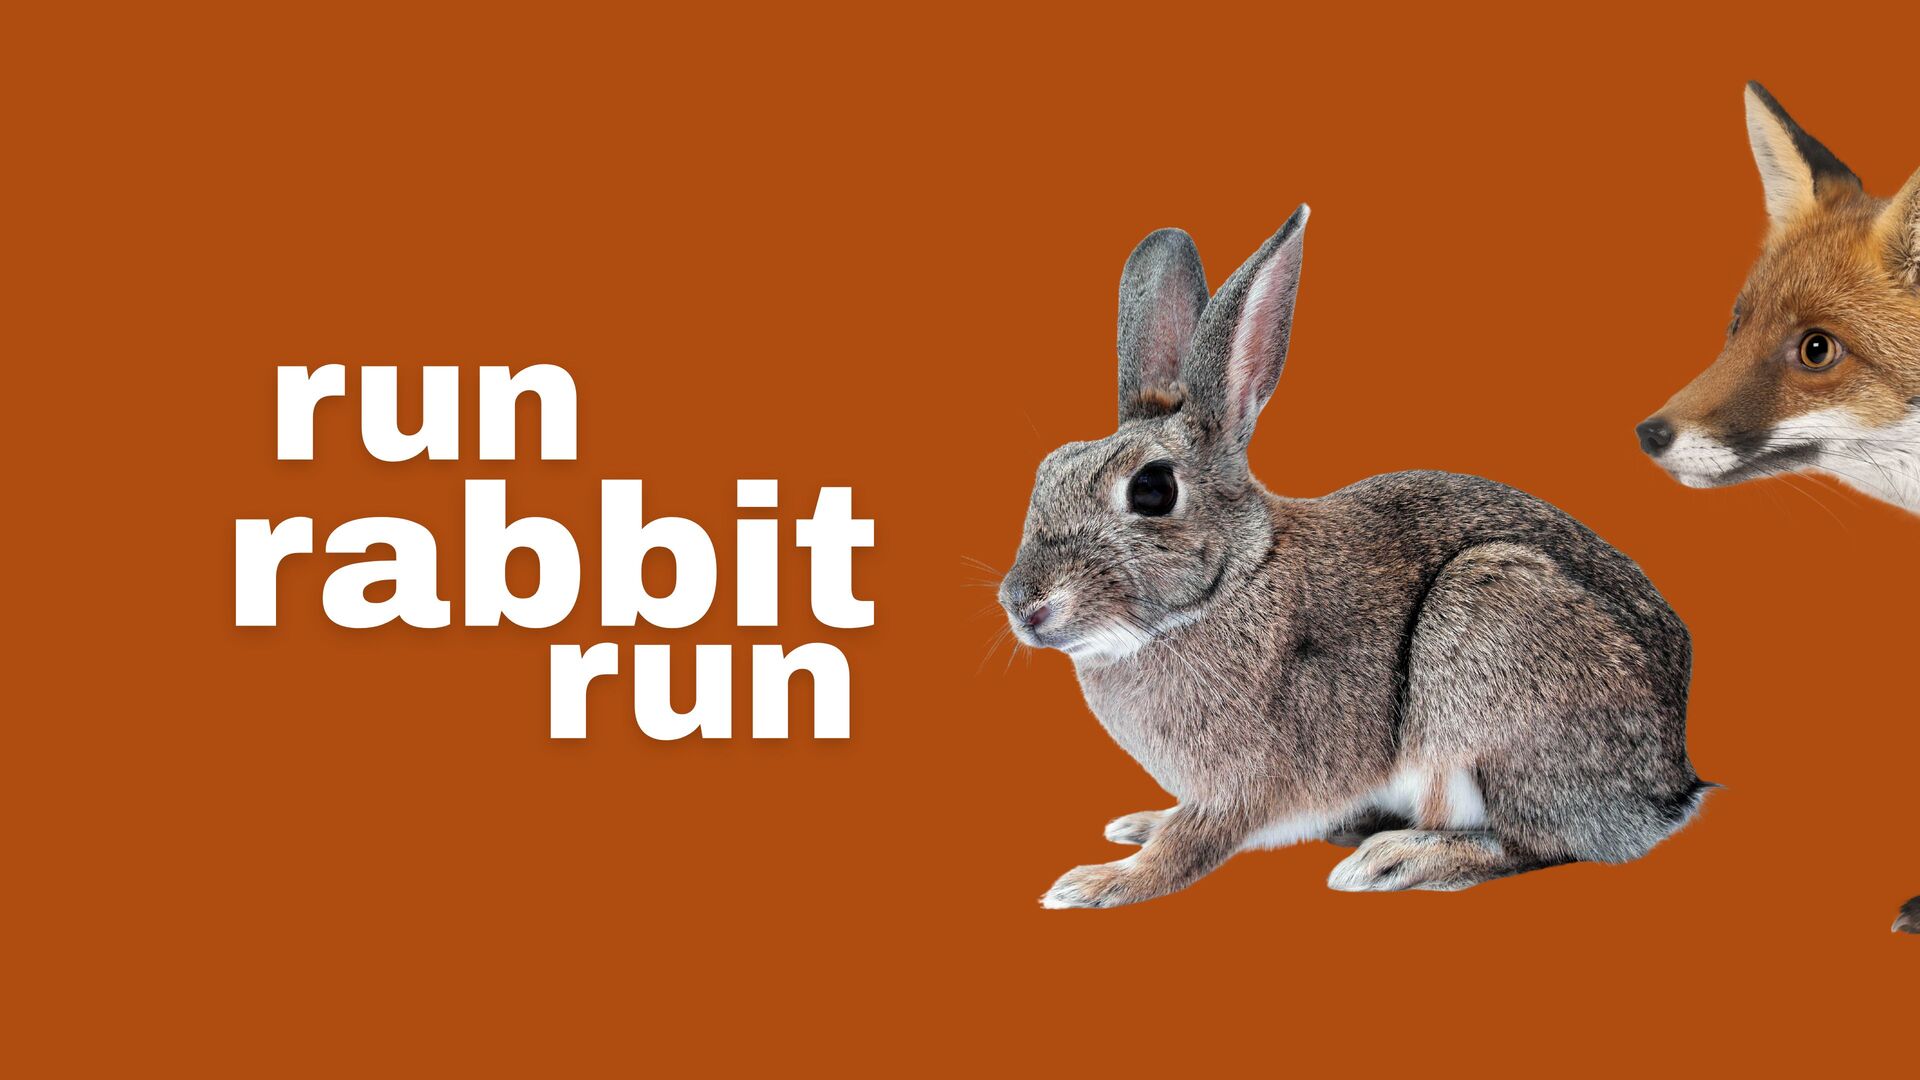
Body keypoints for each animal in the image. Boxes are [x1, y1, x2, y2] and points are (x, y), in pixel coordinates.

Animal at [999, 205, 1710, 909]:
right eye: (1048, 469)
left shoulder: (1243, 783)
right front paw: (1140, 825)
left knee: (1537, 842)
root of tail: (1669, 788)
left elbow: (1188, 847)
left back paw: (1394, 860)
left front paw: (1097, 882)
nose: (1023, 606)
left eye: (1152, 490)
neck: (1233, 582)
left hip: (1488, 642)